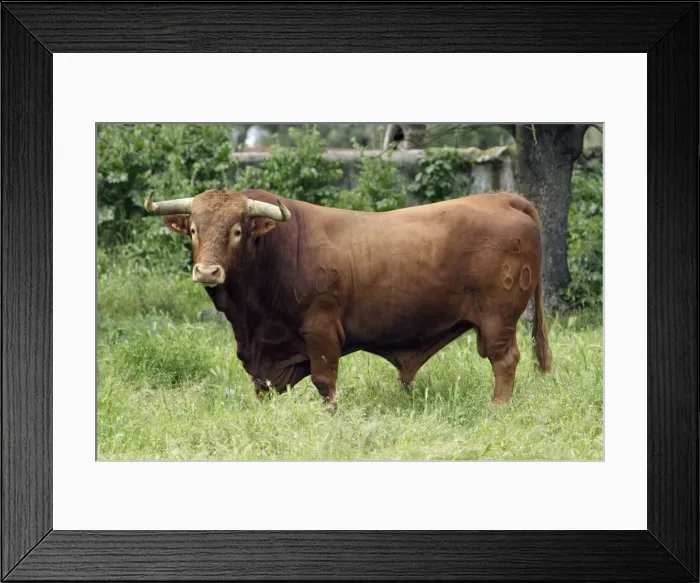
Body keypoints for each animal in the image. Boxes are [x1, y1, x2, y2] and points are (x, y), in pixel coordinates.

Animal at [144, 188, 551, 409]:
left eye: (237, 230)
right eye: (193, 229)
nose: (207, 271)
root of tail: (502, 199)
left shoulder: (322, 330)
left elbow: (325, 382)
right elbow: (262, 387)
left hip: (498, 320)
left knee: (504, 361)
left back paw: (497, 407)